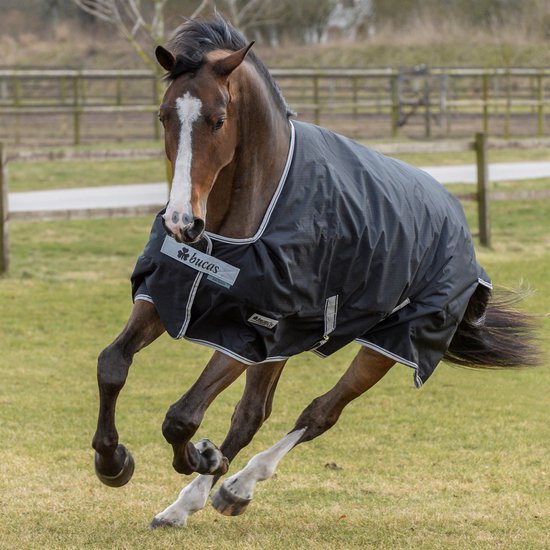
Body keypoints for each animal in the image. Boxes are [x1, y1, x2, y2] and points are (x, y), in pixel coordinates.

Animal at [90, 14, 540, 532]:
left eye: (218, 120)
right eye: (164, 116)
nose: (182, 223)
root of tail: (457, 219)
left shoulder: (251, 330)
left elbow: (181, 417)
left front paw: (200, 457)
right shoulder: (171, 296)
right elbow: (112, 364)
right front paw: (112, 462)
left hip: (388, 345)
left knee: (320, 412)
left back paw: (232, 485)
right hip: (290, 343)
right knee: (253, 413)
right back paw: (195, 499)